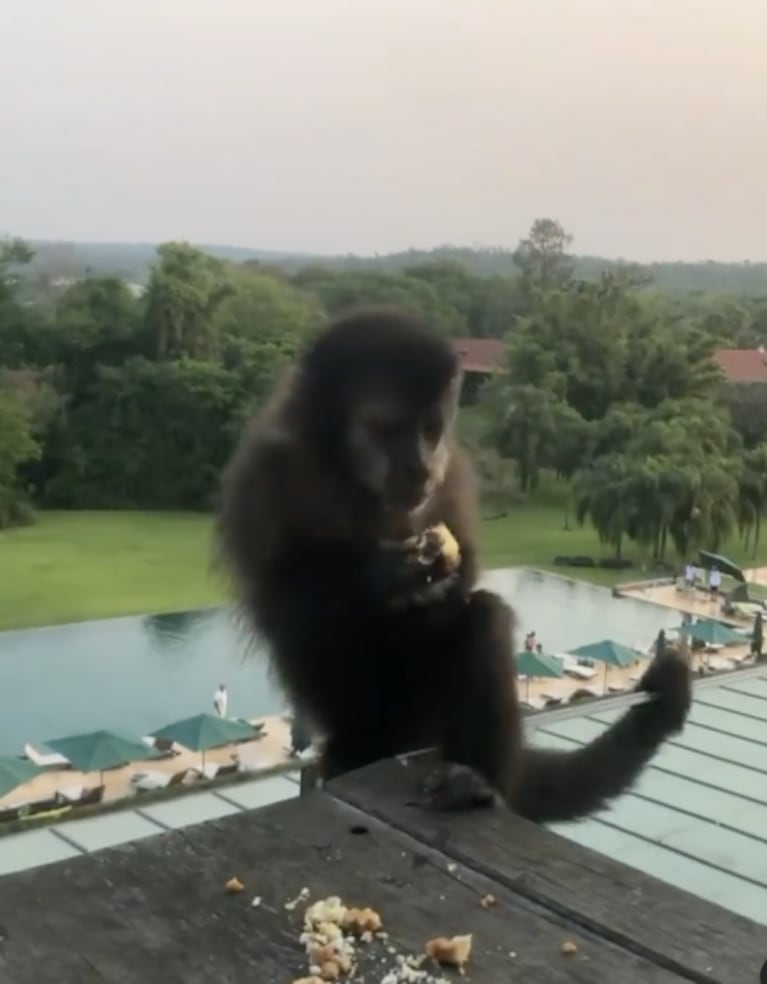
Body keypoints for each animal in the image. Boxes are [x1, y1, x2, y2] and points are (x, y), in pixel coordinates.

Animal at [214, 310, 688, 824]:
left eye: (430, 429)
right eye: (387, 428)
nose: (420, 468)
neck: (352, 480)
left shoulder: (452, 467)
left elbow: (467, 577)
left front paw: (440, 581)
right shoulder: (266, 469)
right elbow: (280, 605)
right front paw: (384, 574)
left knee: (483, 618)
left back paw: (477, 783)